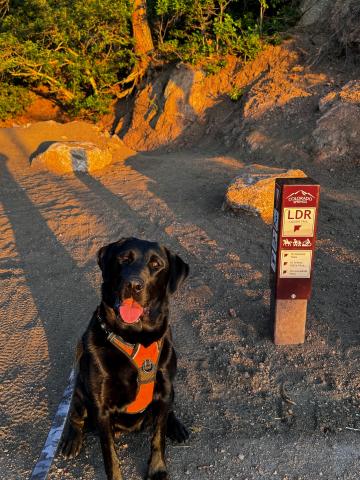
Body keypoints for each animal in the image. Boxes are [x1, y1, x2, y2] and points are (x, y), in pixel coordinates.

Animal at [61, 237, 191, 480]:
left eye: (156, 264)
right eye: (124, 259)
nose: (133, 285)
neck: (135, 338)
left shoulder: (164, 389)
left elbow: (158, 437)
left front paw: (157, 470)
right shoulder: (101, 407)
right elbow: (110, 456)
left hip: (171, 391)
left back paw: (176, 426)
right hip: (81, 389)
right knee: (75, 414)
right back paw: (71, 439)